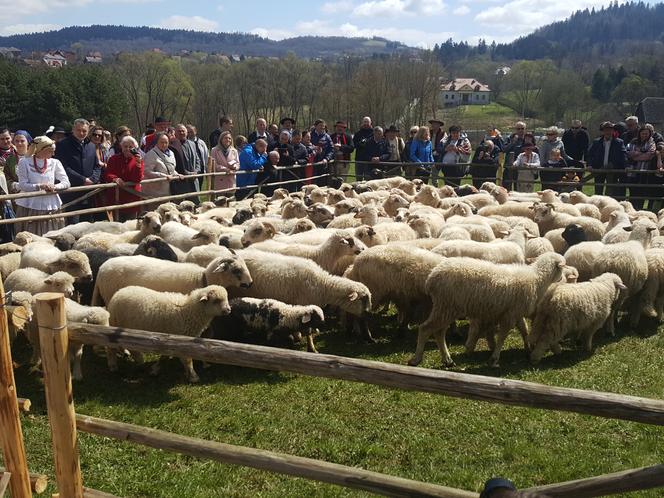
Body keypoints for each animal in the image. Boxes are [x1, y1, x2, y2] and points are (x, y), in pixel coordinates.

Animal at [416, 253, 564, 366]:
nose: (562, 278)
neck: (537, 278)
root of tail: (431, 278)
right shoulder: (510, 315)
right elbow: (502, 337)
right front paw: (494, 358)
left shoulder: (515, 312)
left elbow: (524, 329)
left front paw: (528, 348)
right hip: (446, 307)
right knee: (425, 329)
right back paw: (417, 359)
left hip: (446, 308)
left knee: (438, 333)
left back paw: (447, 360)